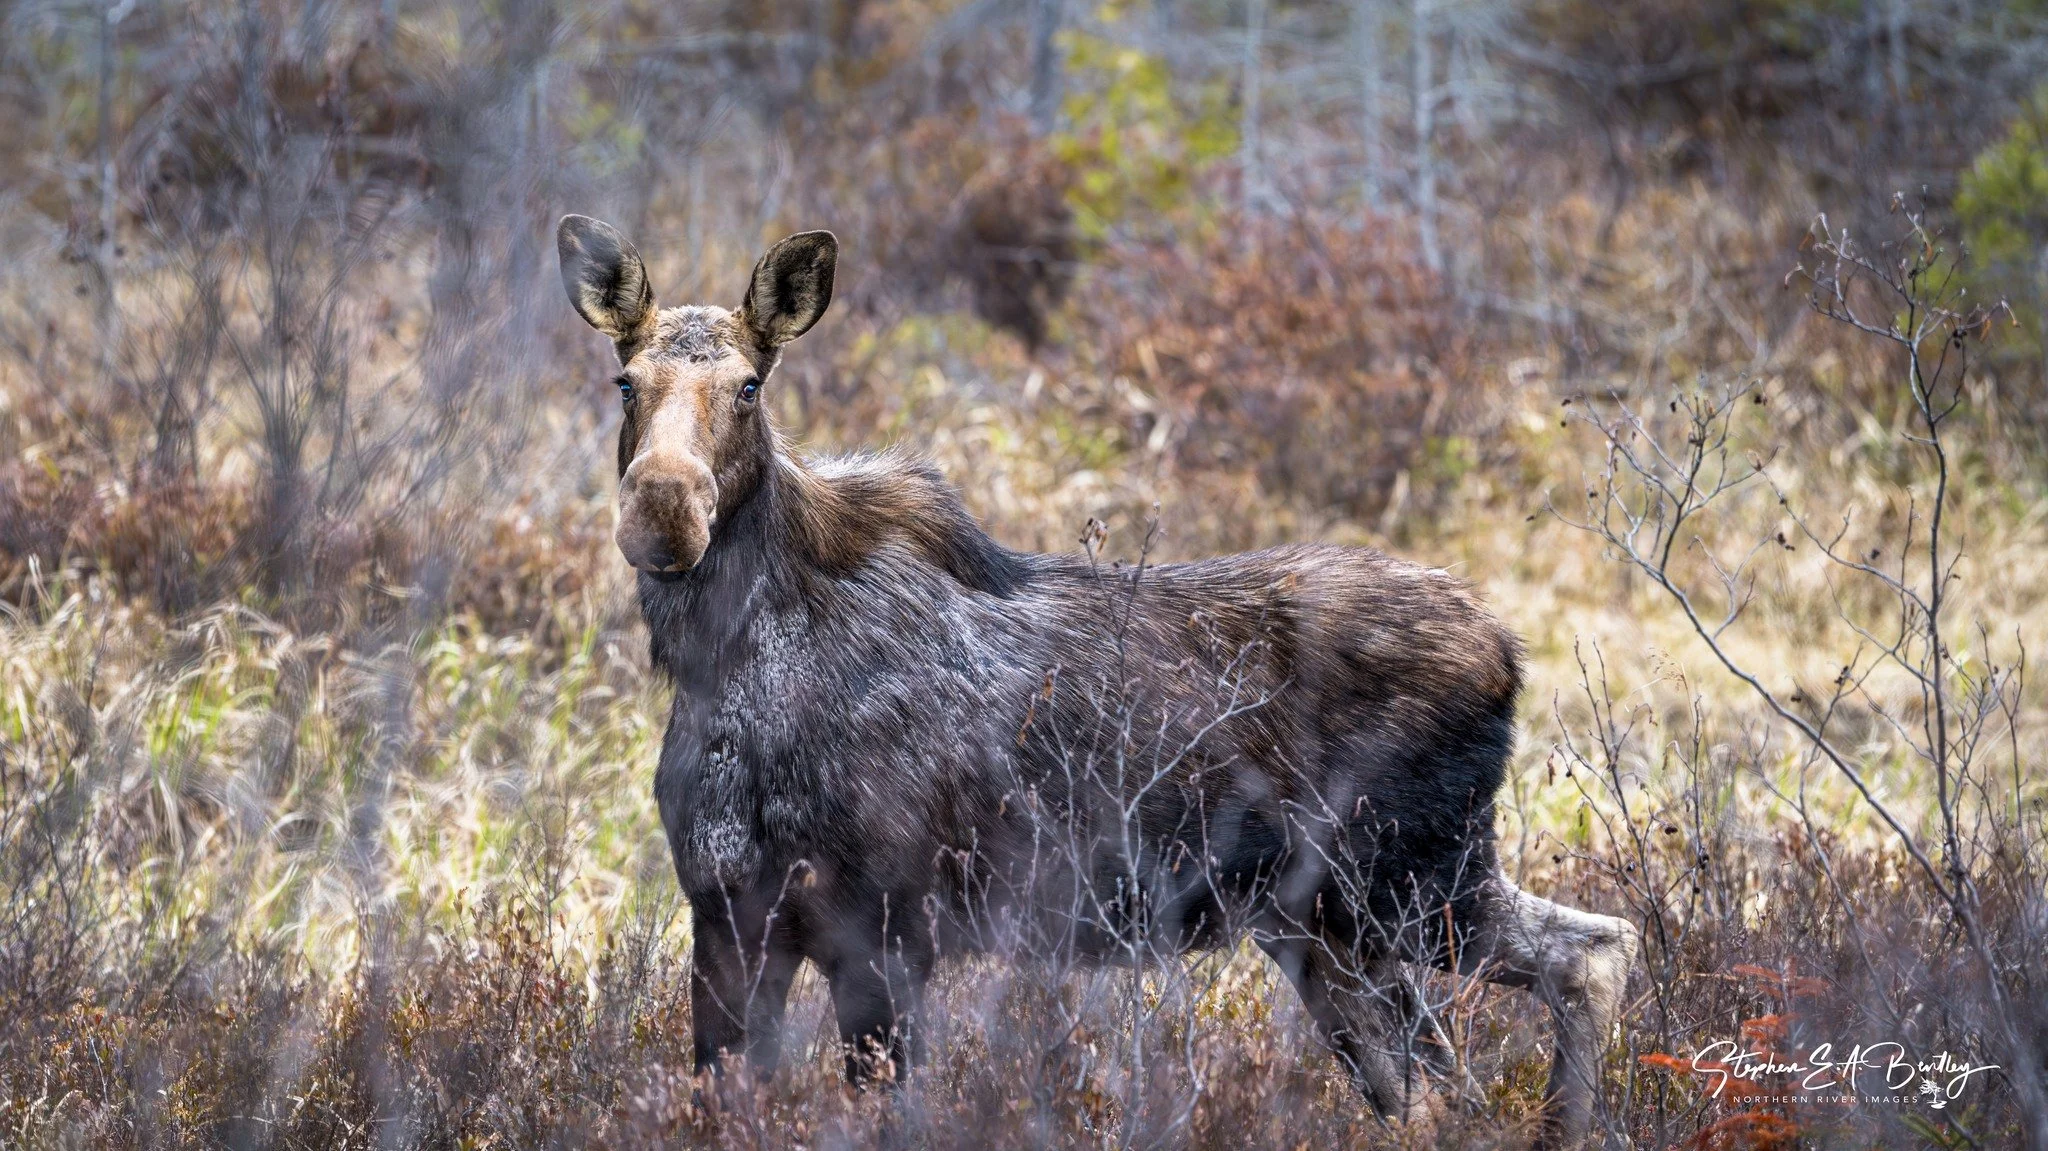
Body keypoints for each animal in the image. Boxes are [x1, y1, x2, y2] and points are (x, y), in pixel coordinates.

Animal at [555, 214, 1638, 1146]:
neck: (726, 665)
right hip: (1328, 923)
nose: (662, 508)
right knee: (1436, 1084)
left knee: (1592, 951)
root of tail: (1507, 650)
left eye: (748, 386)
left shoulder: (886, 931)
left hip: (1415, 874)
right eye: (624, 381)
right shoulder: (727, 922)